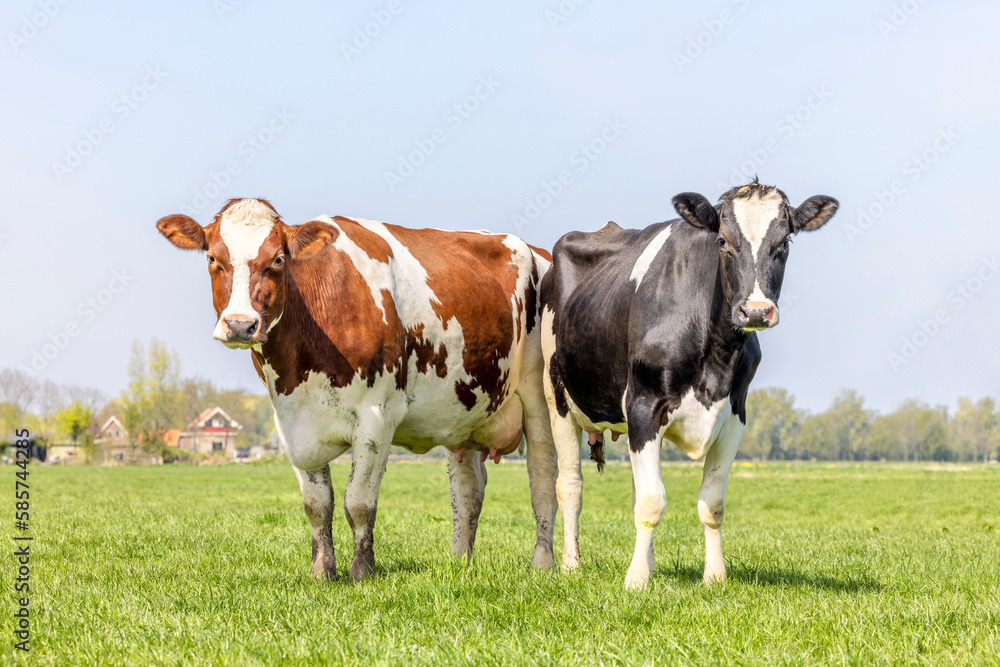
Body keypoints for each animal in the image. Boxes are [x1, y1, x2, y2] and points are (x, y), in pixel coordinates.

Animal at [160, 198, 560, 580]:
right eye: (213, 258)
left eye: (277, 259)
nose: (241, 325)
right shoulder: (289, 423)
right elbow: (317, 504)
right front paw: (322, 570)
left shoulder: (377, 416)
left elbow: (359, 501)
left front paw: (362, 569)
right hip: (465, 413)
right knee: (468, 492)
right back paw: (459, 563)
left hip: (541, 403)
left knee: (543, 484)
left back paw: (543, 563)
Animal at [540, 181, 836, 588]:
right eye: (723, 241)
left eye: (785, 242)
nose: (756, 311)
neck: (715, 357)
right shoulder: (643, 406)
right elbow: (652, 502)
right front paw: (635, 581)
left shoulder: (734, 415)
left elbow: (710, 504)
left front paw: (714, 576)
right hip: (558, 399)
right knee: (570, 486)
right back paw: (571, 564)